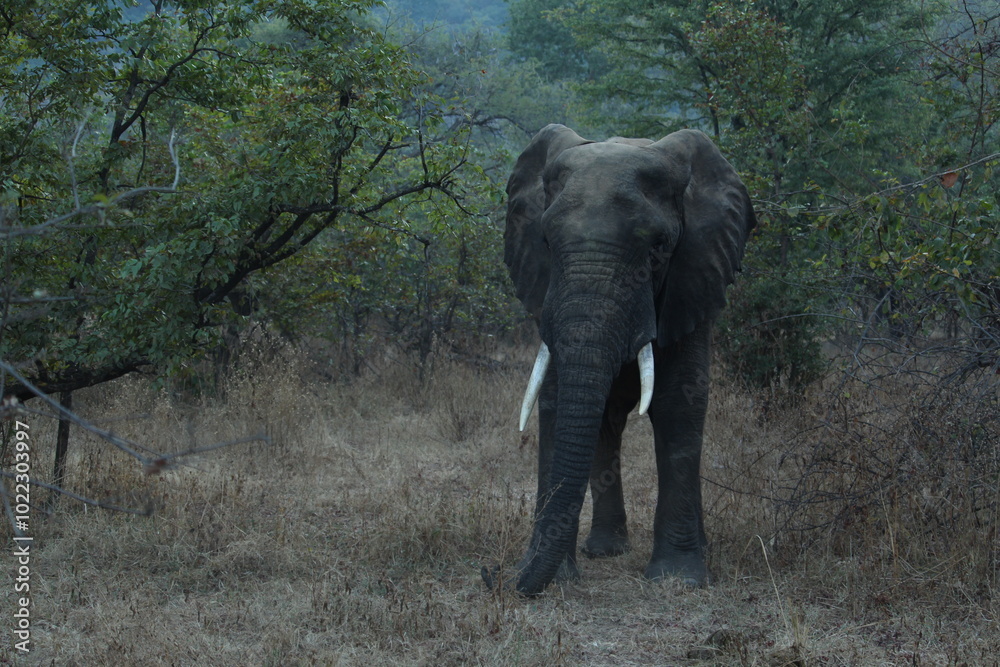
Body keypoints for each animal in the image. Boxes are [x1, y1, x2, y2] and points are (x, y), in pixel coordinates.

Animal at [482, 124, 756, 596]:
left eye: (659, 248)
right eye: (546, 242)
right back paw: (606, 551)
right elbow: (555, 402)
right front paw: (558, 575)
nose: (495, 573)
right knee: (606, 423)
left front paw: (678, 579)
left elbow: (679, 403)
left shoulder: (692, 279)